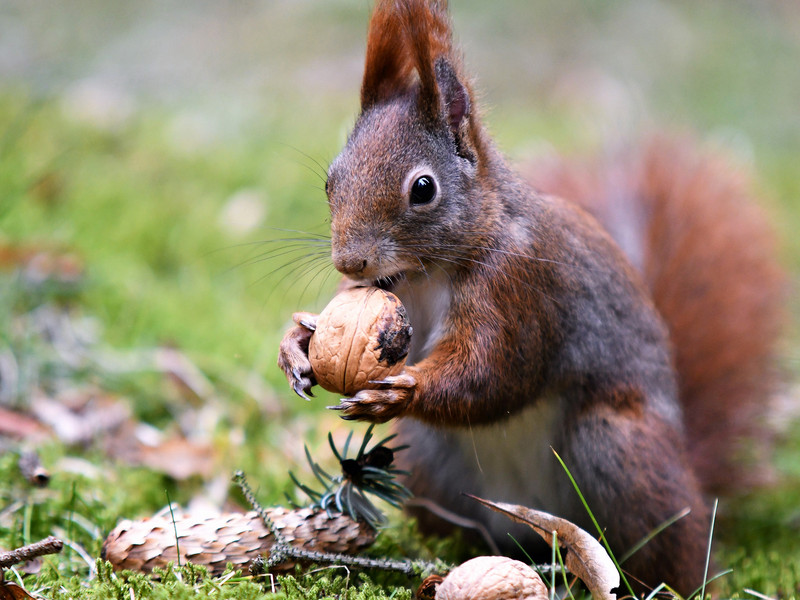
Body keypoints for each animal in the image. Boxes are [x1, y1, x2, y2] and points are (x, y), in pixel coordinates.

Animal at [278, 0, 785, 594]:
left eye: (423, 189)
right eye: (330, 181)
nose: (349, 262)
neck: (424, 274)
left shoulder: (519, 288)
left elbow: (494, 374)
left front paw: (401, 392)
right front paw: (296, 344)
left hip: (618, 450)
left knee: (668, 556)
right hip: (429, 464)